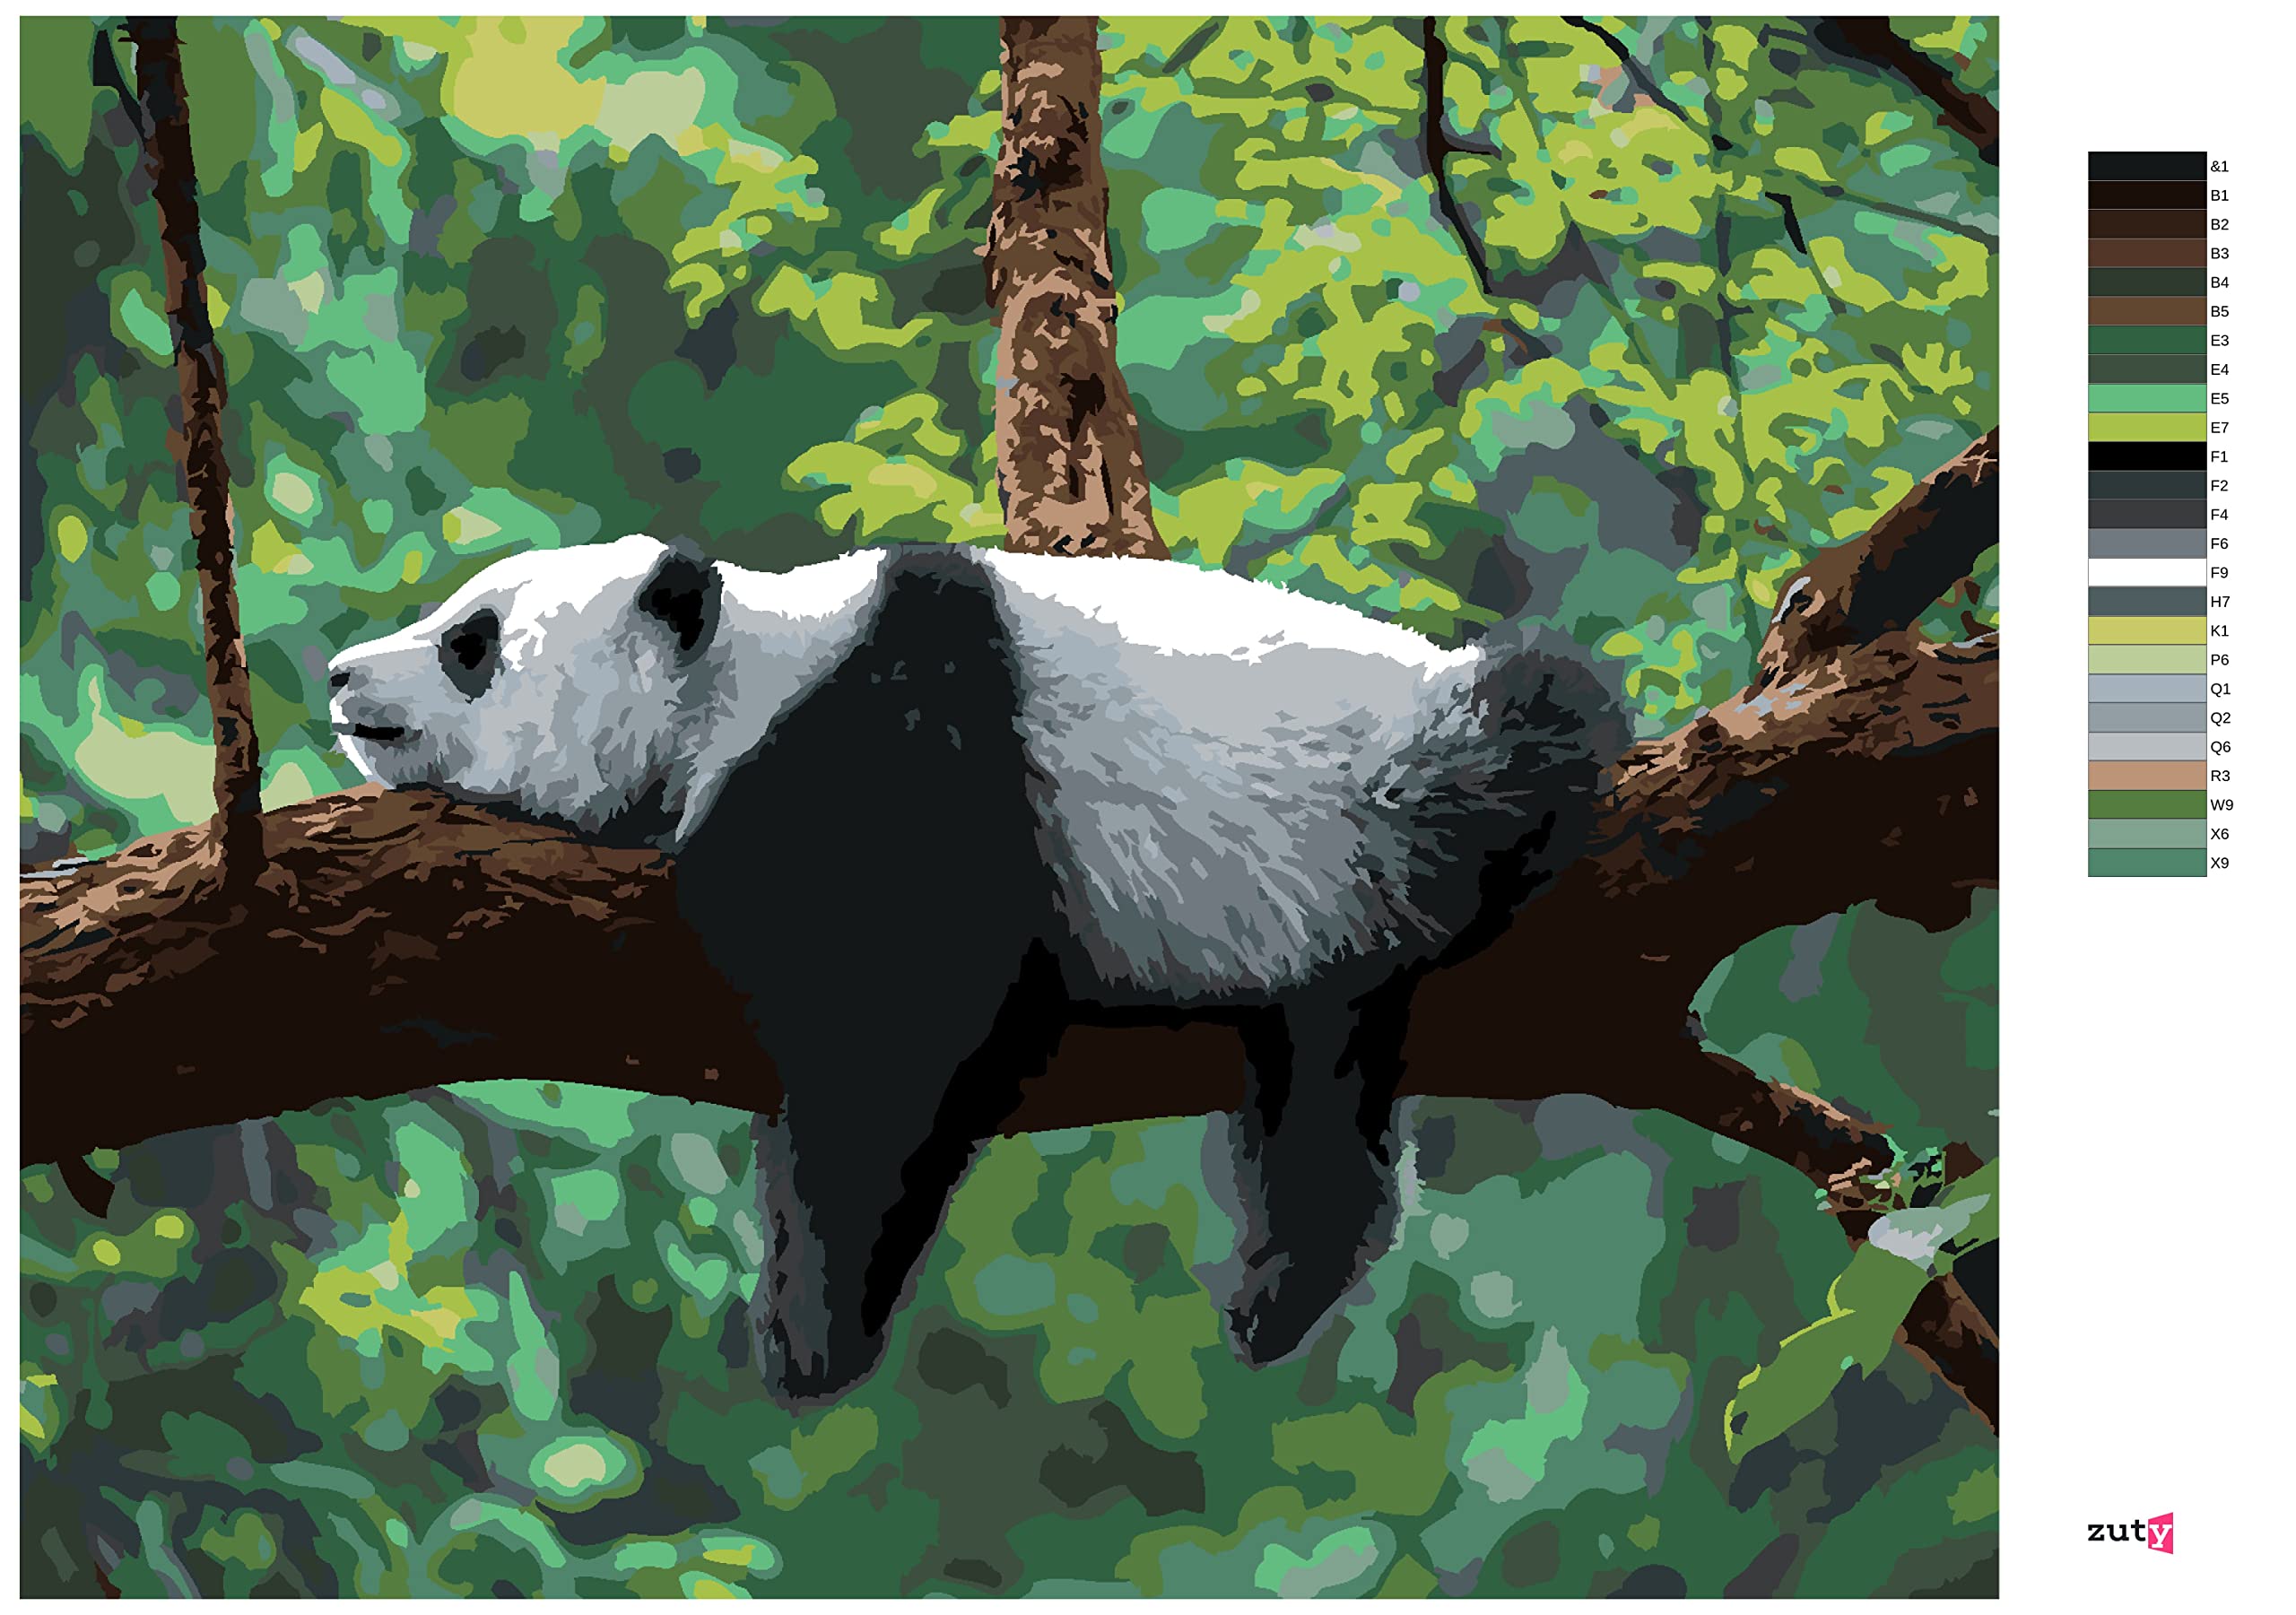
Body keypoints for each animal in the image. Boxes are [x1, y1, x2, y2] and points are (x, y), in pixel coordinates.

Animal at [327, 533, 1620, 1405]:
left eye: (472, 641)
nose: (341, 675)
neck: (740, 674)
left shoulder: (892, 730)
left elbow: (905, 1017)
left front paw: (810, 1327)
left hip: (1385, 774)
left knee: (1530, 722)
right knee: (1317, 1069)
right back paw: (1285, 1282)